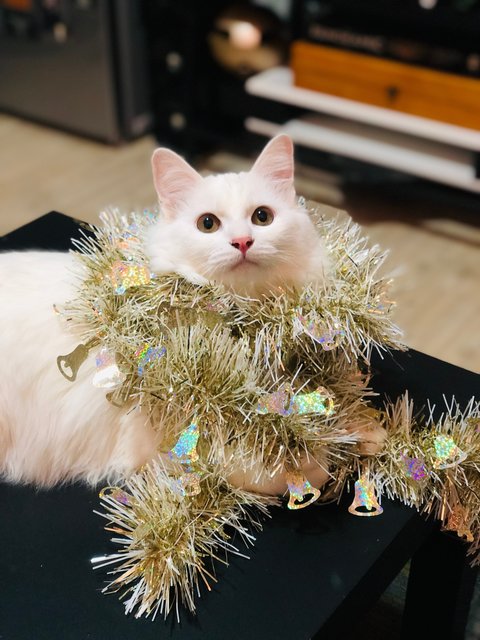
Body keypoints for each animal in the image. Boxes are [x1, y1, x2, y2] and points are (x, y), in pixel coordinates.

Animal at [0, 134, 330, 484]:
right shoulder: (172, 445)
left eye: (262, 217)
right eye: (207, 224)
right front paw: (315, 463)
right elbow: (269, 468)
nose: (242, 242)